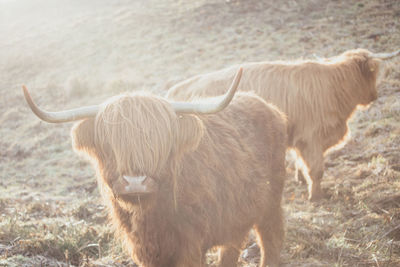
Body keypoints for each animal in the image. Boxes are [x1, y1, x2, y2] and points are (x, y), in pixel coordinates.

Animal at [22, 69, 288, 267]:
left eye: (161, 142)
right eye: (109, 144)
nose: (135, 182)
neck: (151, 217)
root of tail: (268, 107)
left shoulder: (189, 246)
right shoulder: (146, 250)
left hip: (271, 202)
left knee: (271, 241)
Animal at [166, 49, 400, 202]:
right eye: (372, 73)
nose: (374, 96)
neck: (333, 87)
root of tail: (173, 92)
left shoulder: (299, 136)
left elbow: (300, 161)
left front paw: (300, 179)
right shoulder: (312, 137)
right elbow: (316, 170)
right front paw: (316, 196)